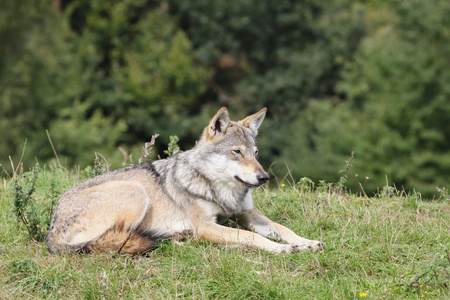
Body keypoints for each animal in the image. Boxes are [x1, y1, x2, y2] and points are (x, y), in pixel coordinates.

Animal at [47, 107, 324, 253]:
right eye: (237, 152)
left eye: (255, 154)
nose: (263, 177)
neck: (219, 189)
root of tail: (51, 234)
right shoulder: (207, 226)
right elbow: (250, 237)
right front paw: (281, 249)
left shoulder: (247, 214)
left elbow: (284, 229)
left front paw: (307, 242)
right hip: (137, 193)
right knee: (119, 240)